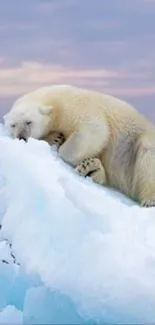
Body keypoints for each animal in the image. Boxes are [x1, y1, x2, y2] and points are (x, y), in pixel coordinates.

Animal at [3, 82, 155, 206]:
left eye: (29, 122)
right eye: (13, 125)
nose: (21, 137)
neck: (54, 102)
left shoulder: (75, 107)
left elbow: (95, 130)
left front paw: (60, 145)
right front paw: (55, 138)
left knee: (147, 153)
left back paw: (149, 200)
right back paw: (91, 168)